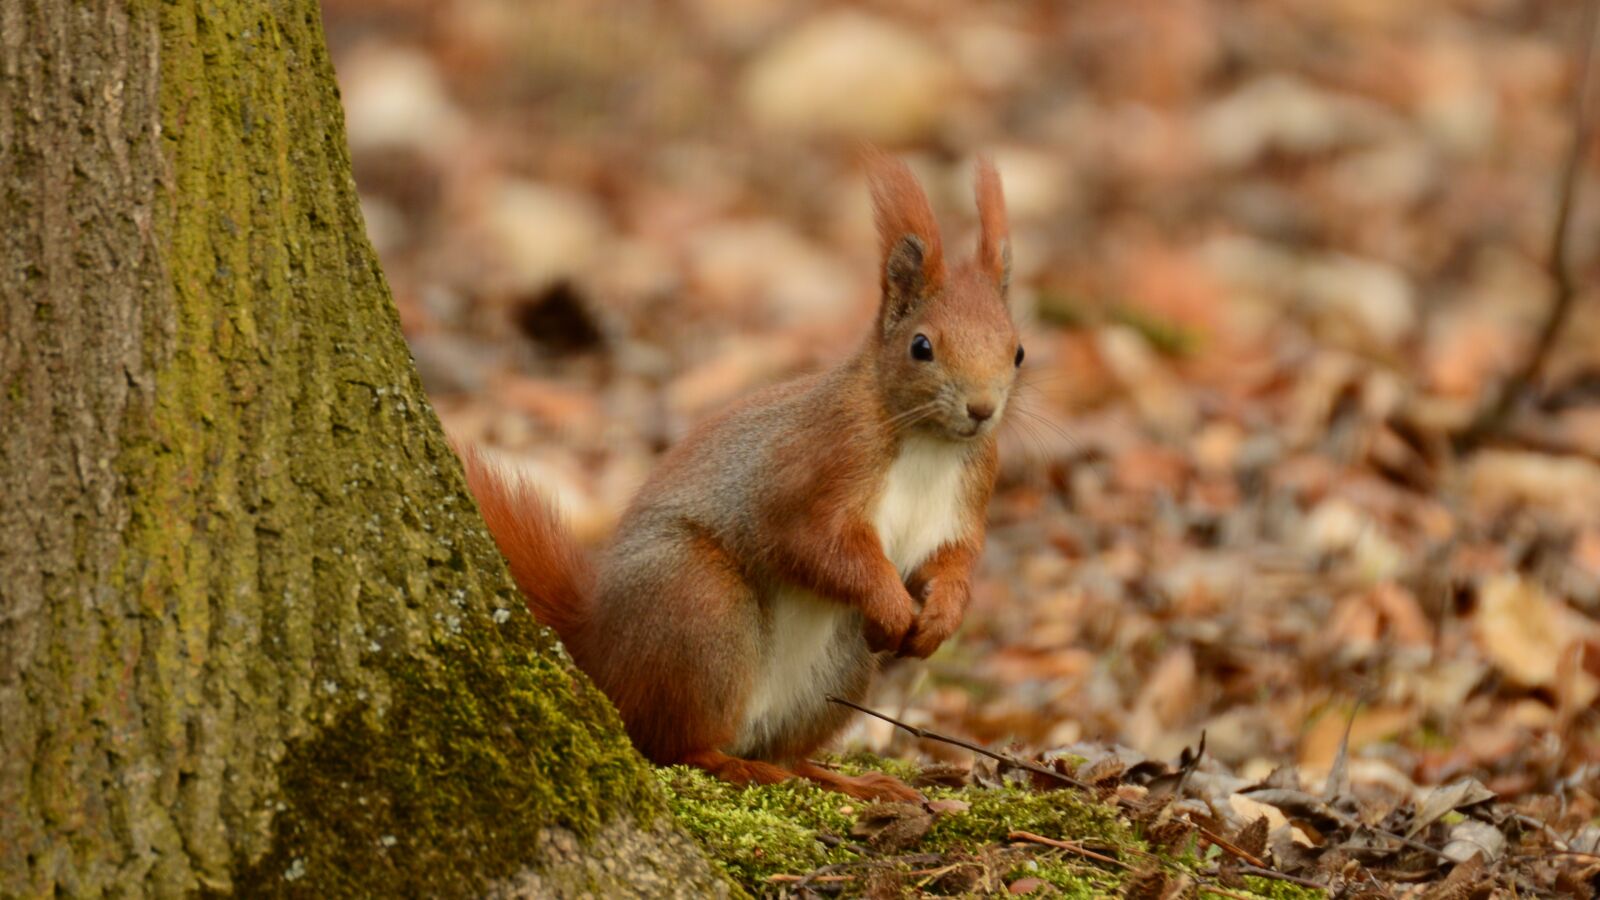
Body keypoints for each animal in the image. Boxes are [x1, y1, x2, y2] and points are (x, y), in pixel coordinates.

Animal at [459, 152, 1020, 801]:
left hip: (836, 670)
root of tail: (600, 650)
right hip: (699, 605)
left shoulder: (968, 496)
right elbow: (816, 545)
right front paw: (891, 603)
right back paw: (738, 765)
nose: (982, 409)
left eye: (1018, 352)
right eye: (921, 346)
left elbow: (955, 560)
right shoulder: (814, 469)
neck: (929, 443)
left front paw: (940, 618)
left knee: (789, 753)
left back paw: (850, 781)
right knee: (675, 744)